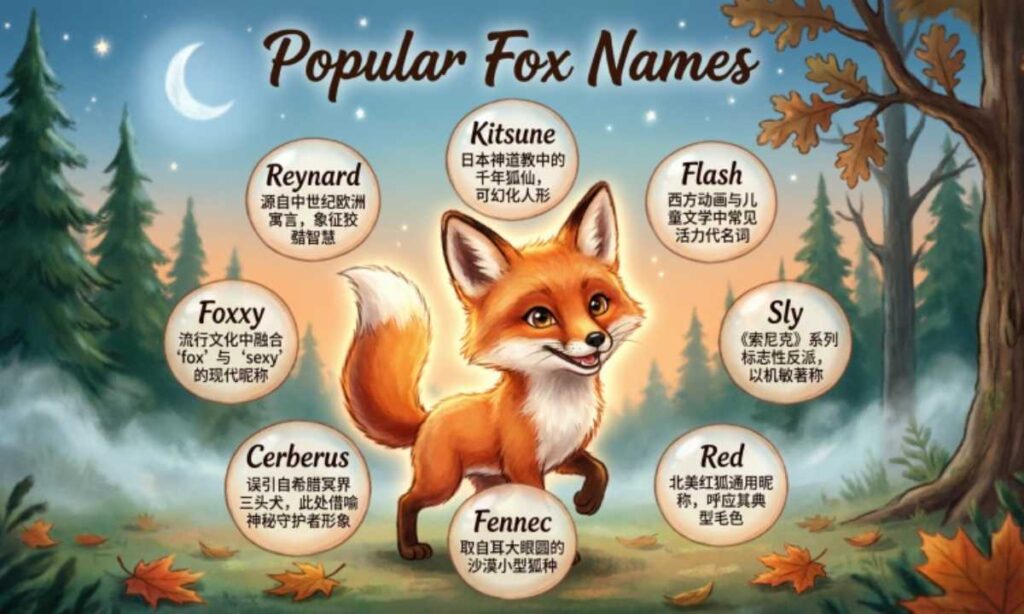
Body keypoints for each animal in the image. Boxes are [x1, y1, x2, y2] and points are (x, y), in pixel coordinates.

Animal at [340, 182, 644, 560]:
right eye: (540, 317)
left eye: (597, 304)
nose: (596, 339)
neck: (560, 404)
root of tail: (428, 417)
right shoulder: (524, 465)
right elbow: (549, 506)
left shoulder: (562, 454)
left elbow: (598, 468)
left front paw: (588, 501)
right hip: (442, 482)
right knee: (406, 500)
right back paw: (410, 548)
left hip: (488, 481)